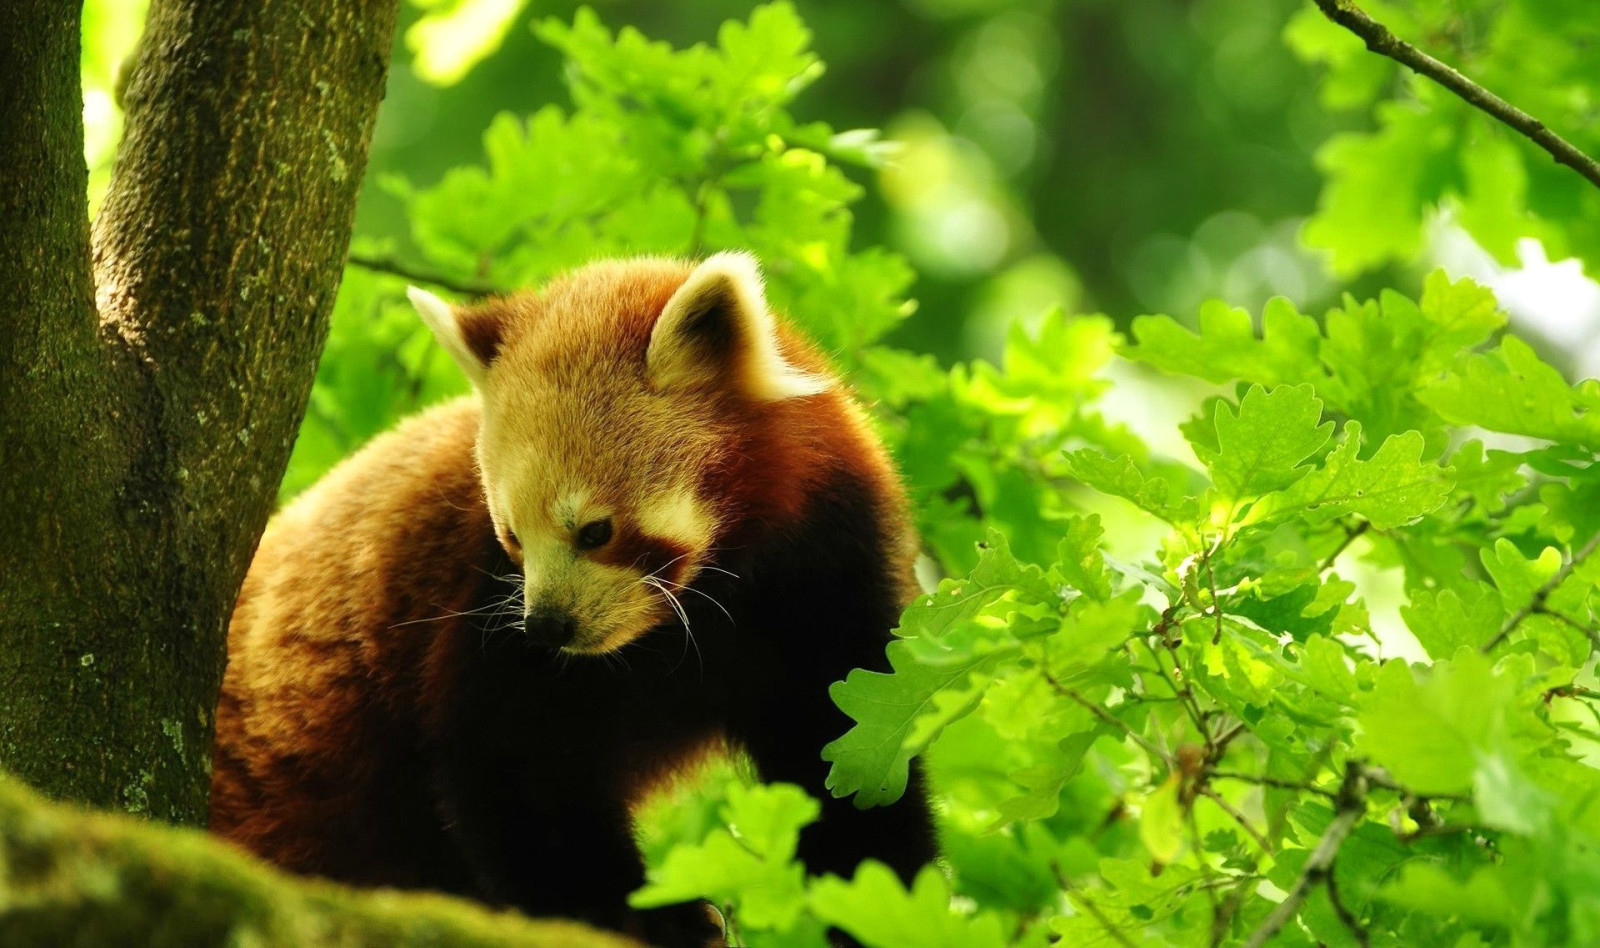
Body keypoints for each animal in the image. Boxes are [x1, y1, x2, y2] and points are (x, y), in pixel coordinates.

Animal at [212, 249, 934, 941]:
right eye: (512, 537)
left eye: (595, 530)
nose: (546, 627)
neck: (705, 596)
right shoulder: (476, 602)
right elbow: (519, 772)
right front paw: (638, 915)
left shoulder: (822, 569)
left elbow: (844, 749)